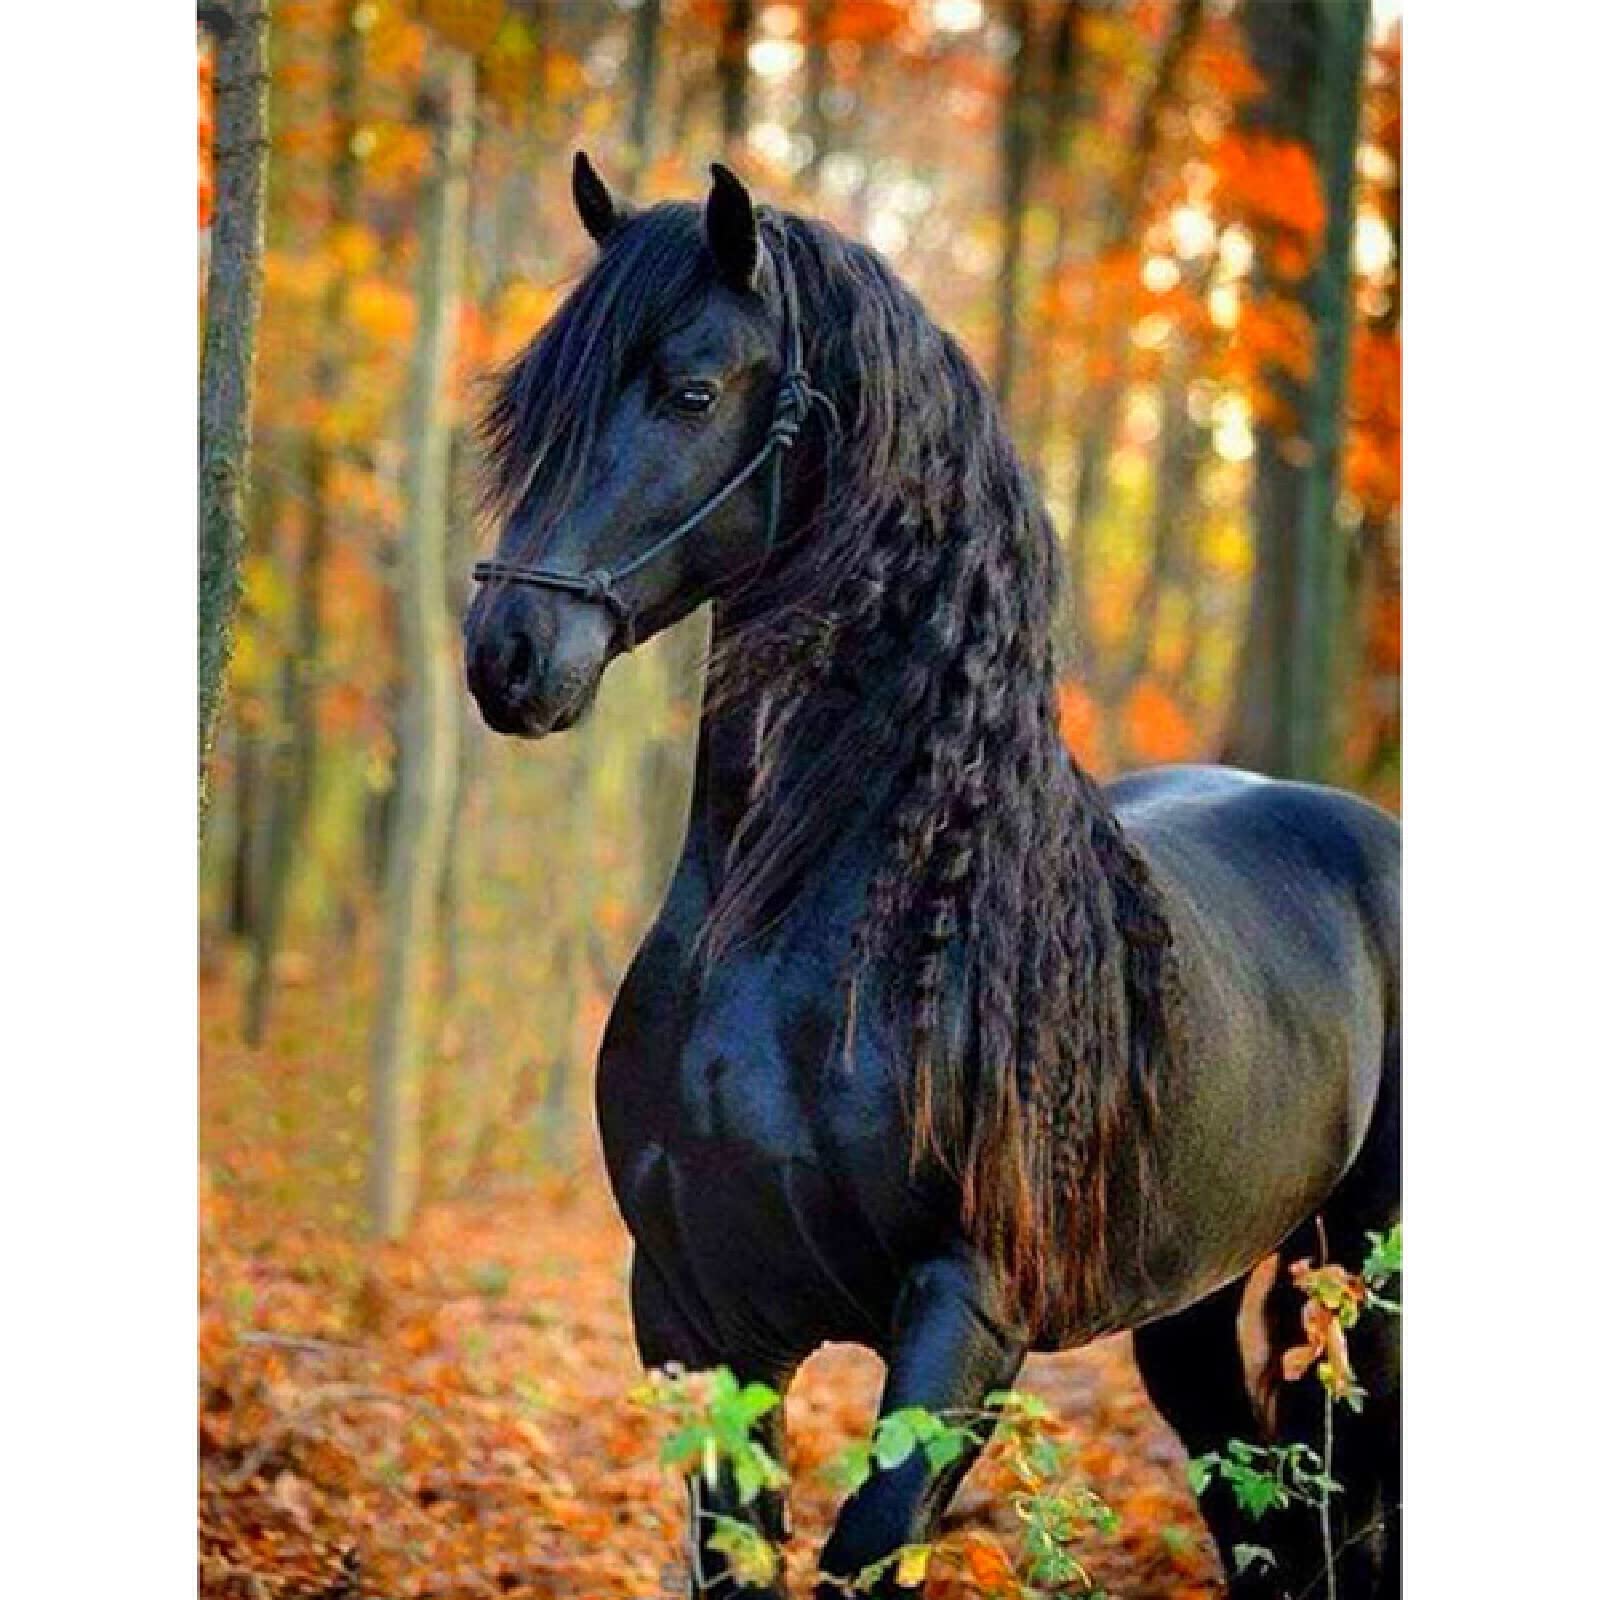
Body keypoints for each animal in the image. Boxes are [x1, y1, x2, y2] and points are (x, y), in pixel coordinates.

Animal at [462, 155, 1401, 1600]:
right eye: (529, 403)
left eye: (691, 391)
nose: (508, 653)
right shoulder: (692, 1315)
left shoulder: (965, 1316)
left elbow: (865, 1547)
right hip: (1190, 1302)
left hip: (1365, 1271)